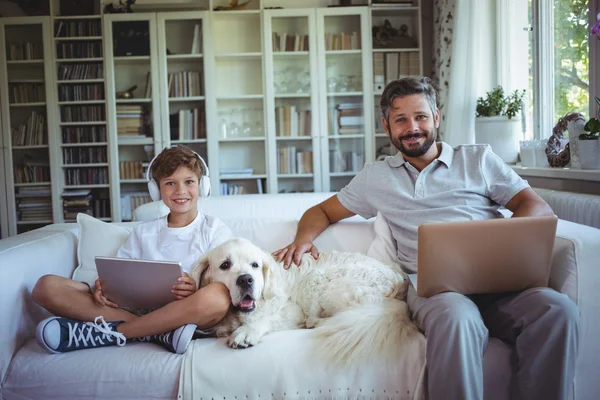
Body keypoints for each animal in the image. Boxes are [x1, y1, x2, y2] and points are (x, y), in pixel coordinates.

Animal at [191, 238, 418, 366]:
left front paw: (247, 332)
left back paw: (315, 323)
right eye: (225, 265)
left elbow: (266, 319)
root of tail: (400, 280)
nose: (246, 280)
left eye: (255, 265)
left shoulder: (293, 310)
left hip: (317, 279)